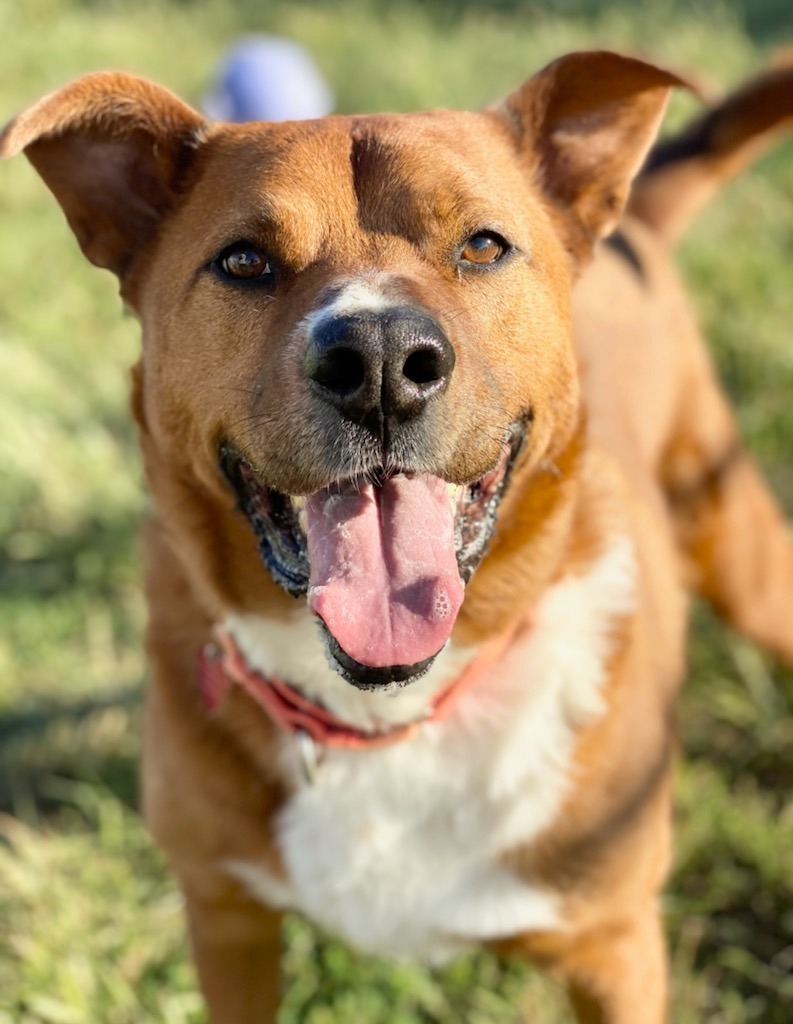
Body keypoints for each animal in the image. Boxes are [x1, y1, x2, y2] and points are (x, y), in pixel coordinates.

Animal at [3, 49, 790, 1024]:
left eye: (483, 246)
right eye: (244, 260)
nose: (379, 361)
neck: (390, 715)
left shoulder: (614, 949)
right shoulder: (227, 920)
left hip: (742, 549)